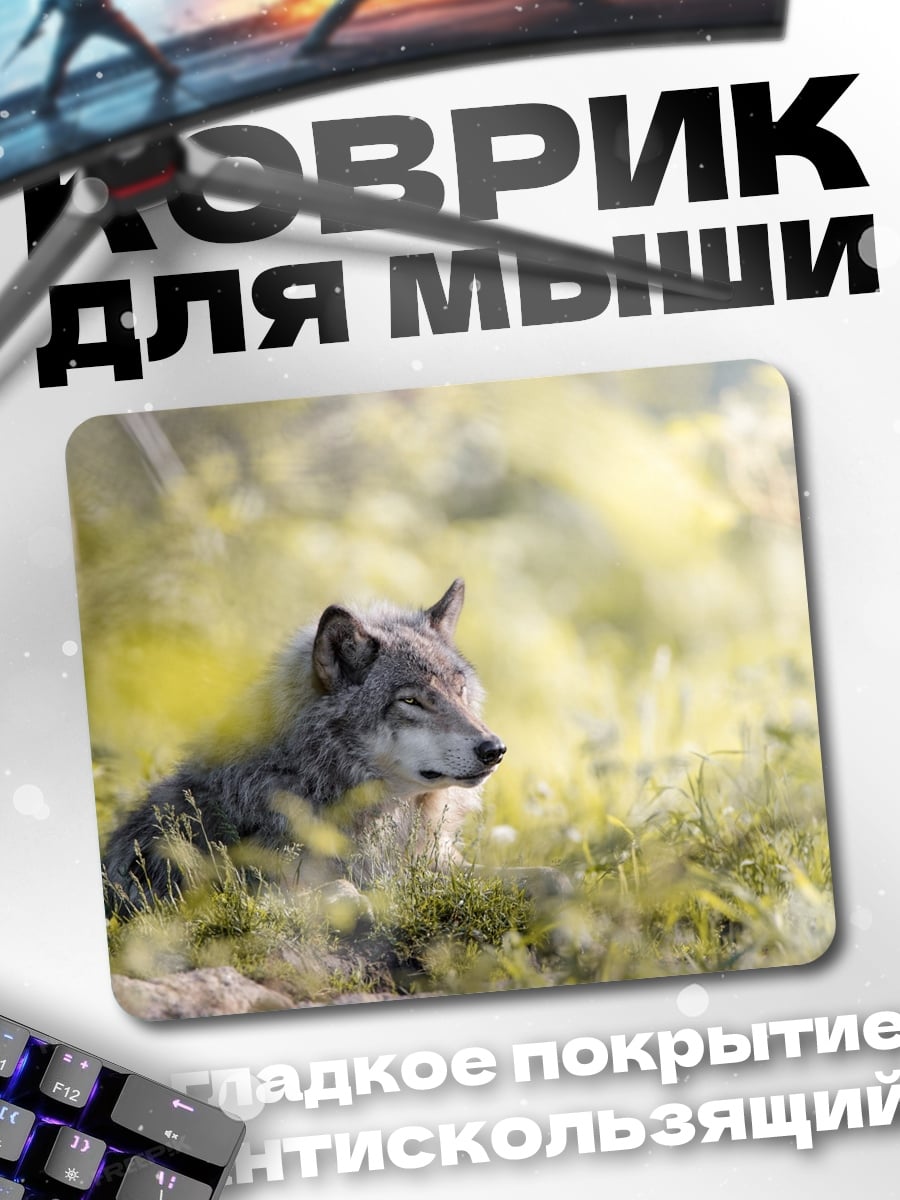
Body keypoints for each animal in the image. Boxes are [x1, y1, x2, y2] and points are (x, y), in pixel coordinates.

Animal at [102, 579, 507, 915]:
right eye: (410, 701)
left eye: (459, 690)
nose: (495, 749)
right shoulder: (248, 889)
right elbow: (331, 889)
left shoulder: (448, 861)